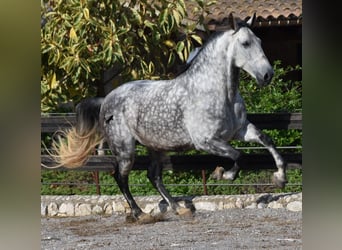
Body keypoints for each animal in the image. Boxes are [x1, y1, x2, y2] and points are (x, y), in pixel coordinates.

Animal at [50, 13, 286, 222]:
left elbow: (267, 142)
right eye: (245, 43)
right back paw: (139, 214)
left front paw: (279, 178)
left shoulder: (241, 130)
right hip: (125, 149)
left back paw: (179, 208)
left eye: (260, 41)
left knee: (153, 176)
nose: (267, 75)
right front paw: (223, 174)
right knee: (121, 177)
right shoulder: (206, 141)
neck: (215, 91)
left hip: (156, 147)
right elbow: (239, 155)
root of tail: (107, 99)